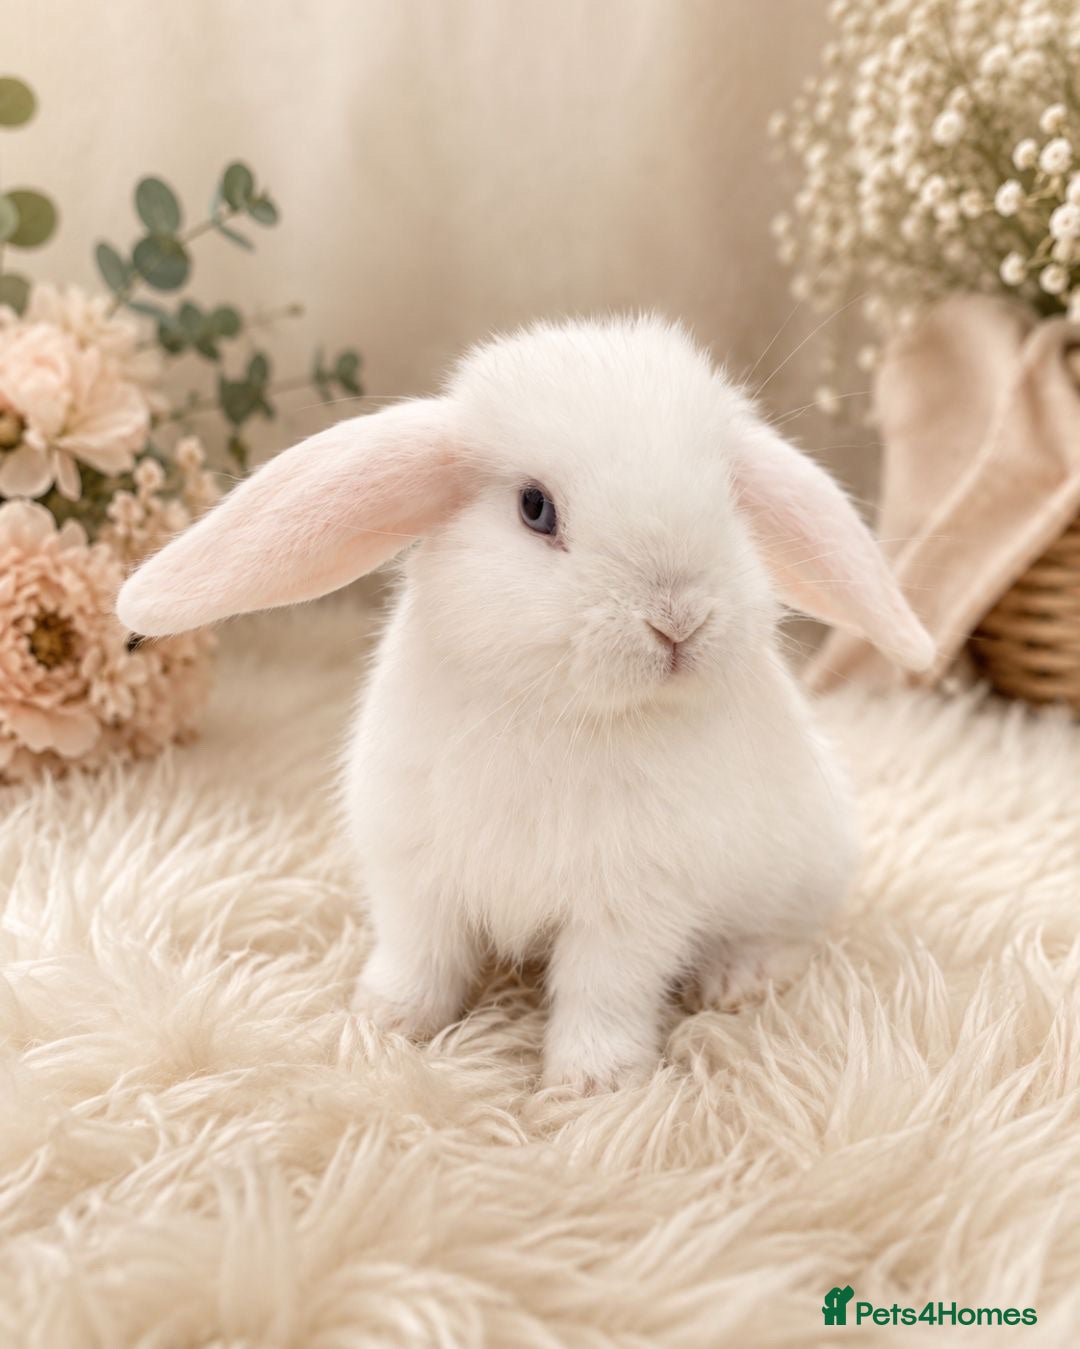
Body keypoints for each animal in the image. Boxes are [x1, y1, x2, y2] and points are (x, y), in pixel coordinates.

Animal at [118, 315, 933, 1092]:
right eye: (536, 508)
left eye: (730, 498)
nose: (678, 618)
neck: (559, 711)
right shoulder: (414, 873)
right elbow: (420, 957)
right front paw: (384, 1023)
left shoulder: (630, 906)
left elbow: (603, 991)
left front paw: (593, 1083)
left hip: (802, 871)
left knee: (789, 936)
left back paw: (737, 979)